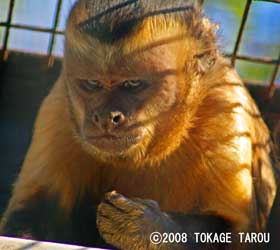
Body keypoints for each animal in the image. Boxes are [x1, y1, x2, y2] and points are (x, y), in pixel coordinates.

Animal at [0, 0, 276, 250]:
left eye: (133, 84)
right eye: (92, 83)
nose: (106, 117)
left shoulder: (226, 106)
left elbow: (234, 231)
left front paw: (148, 227)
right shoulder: (59, 108)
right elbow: (30, 213)